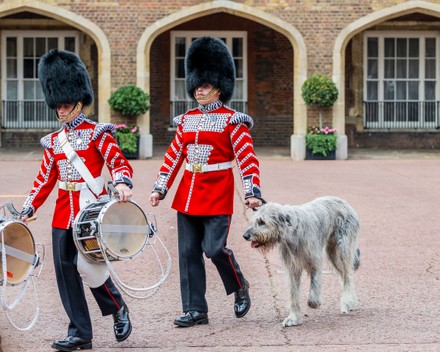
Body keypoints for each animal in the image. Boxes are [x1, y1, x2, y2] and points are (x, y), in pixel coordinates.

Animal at [242, 197, 360, 326]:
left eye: (262, 222)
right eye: (254, 221)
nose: (245, 236)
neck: (292, 232)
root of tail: (343, 202)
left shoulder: (314, 263)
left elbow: (313, 292)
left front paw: (315, 303)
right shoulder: (292, 268)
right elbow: (293, 294)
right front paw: (293, 318)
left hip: (342, 250)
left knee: (347, 276)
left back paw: (347, 302)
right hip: (333, 253)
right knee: (344, 276)